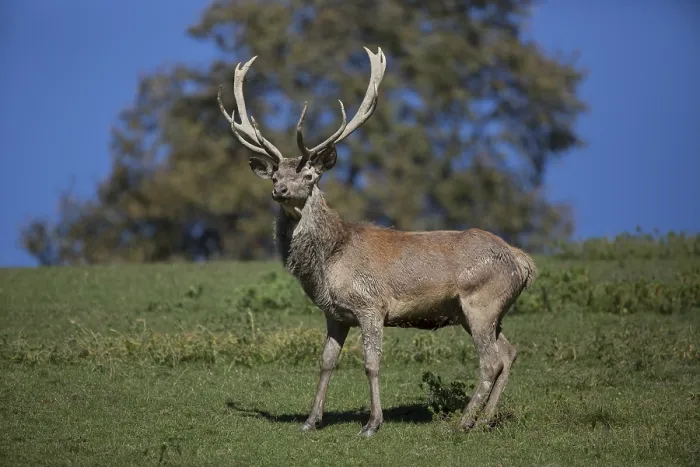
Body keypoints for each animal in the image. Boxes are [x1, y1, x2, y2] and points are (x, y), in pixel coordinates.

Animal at [217, 46, 537, 437]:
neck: (329, 261)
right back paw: (486, 419)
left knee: (490, 360)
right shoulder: (334, 313)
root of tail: (521, 261)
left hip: (482, 302)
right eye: (276, 175)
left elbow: (371, 363)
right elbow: (326, 361)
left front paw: (372, 423)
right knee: (509, 352)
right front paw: (311, 420)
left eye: (309, 176)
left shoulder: (370, 305)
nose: (280, 191)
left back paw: (463, 422)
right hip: (480, 311)